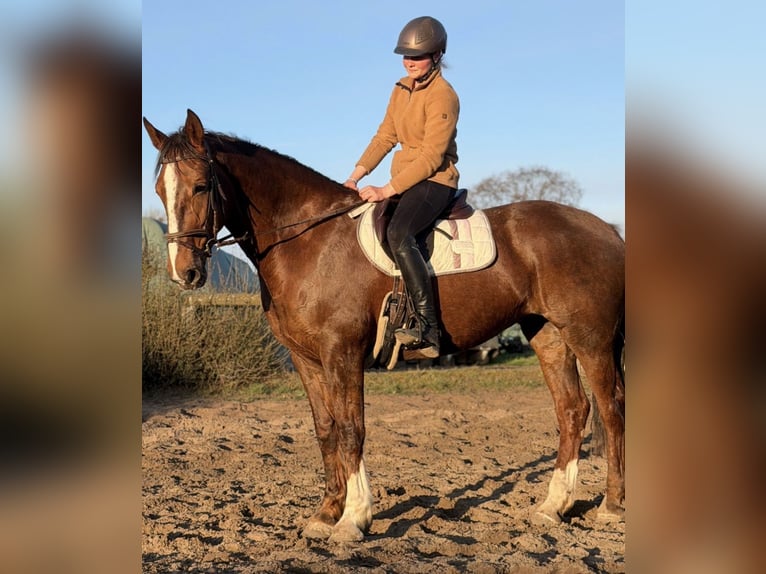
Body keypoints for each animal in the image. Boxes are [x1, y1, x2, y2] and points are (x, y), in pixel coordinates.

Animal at [143, 109, 625, 542]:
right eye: (160, 190)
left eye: (201, 186)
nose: (183, 273)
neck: (308, 241)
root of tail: (604, 228)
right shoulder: (306, 358)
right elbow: (326, 430)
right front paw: (326, 513)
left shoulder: (342, 353)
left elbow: (351, 428)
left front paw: (353, 519)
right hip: (549, 335)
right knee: (572, 410)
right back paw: (553, 507)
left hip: (591, 339)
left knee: (610, 407)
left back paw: (610, 506)